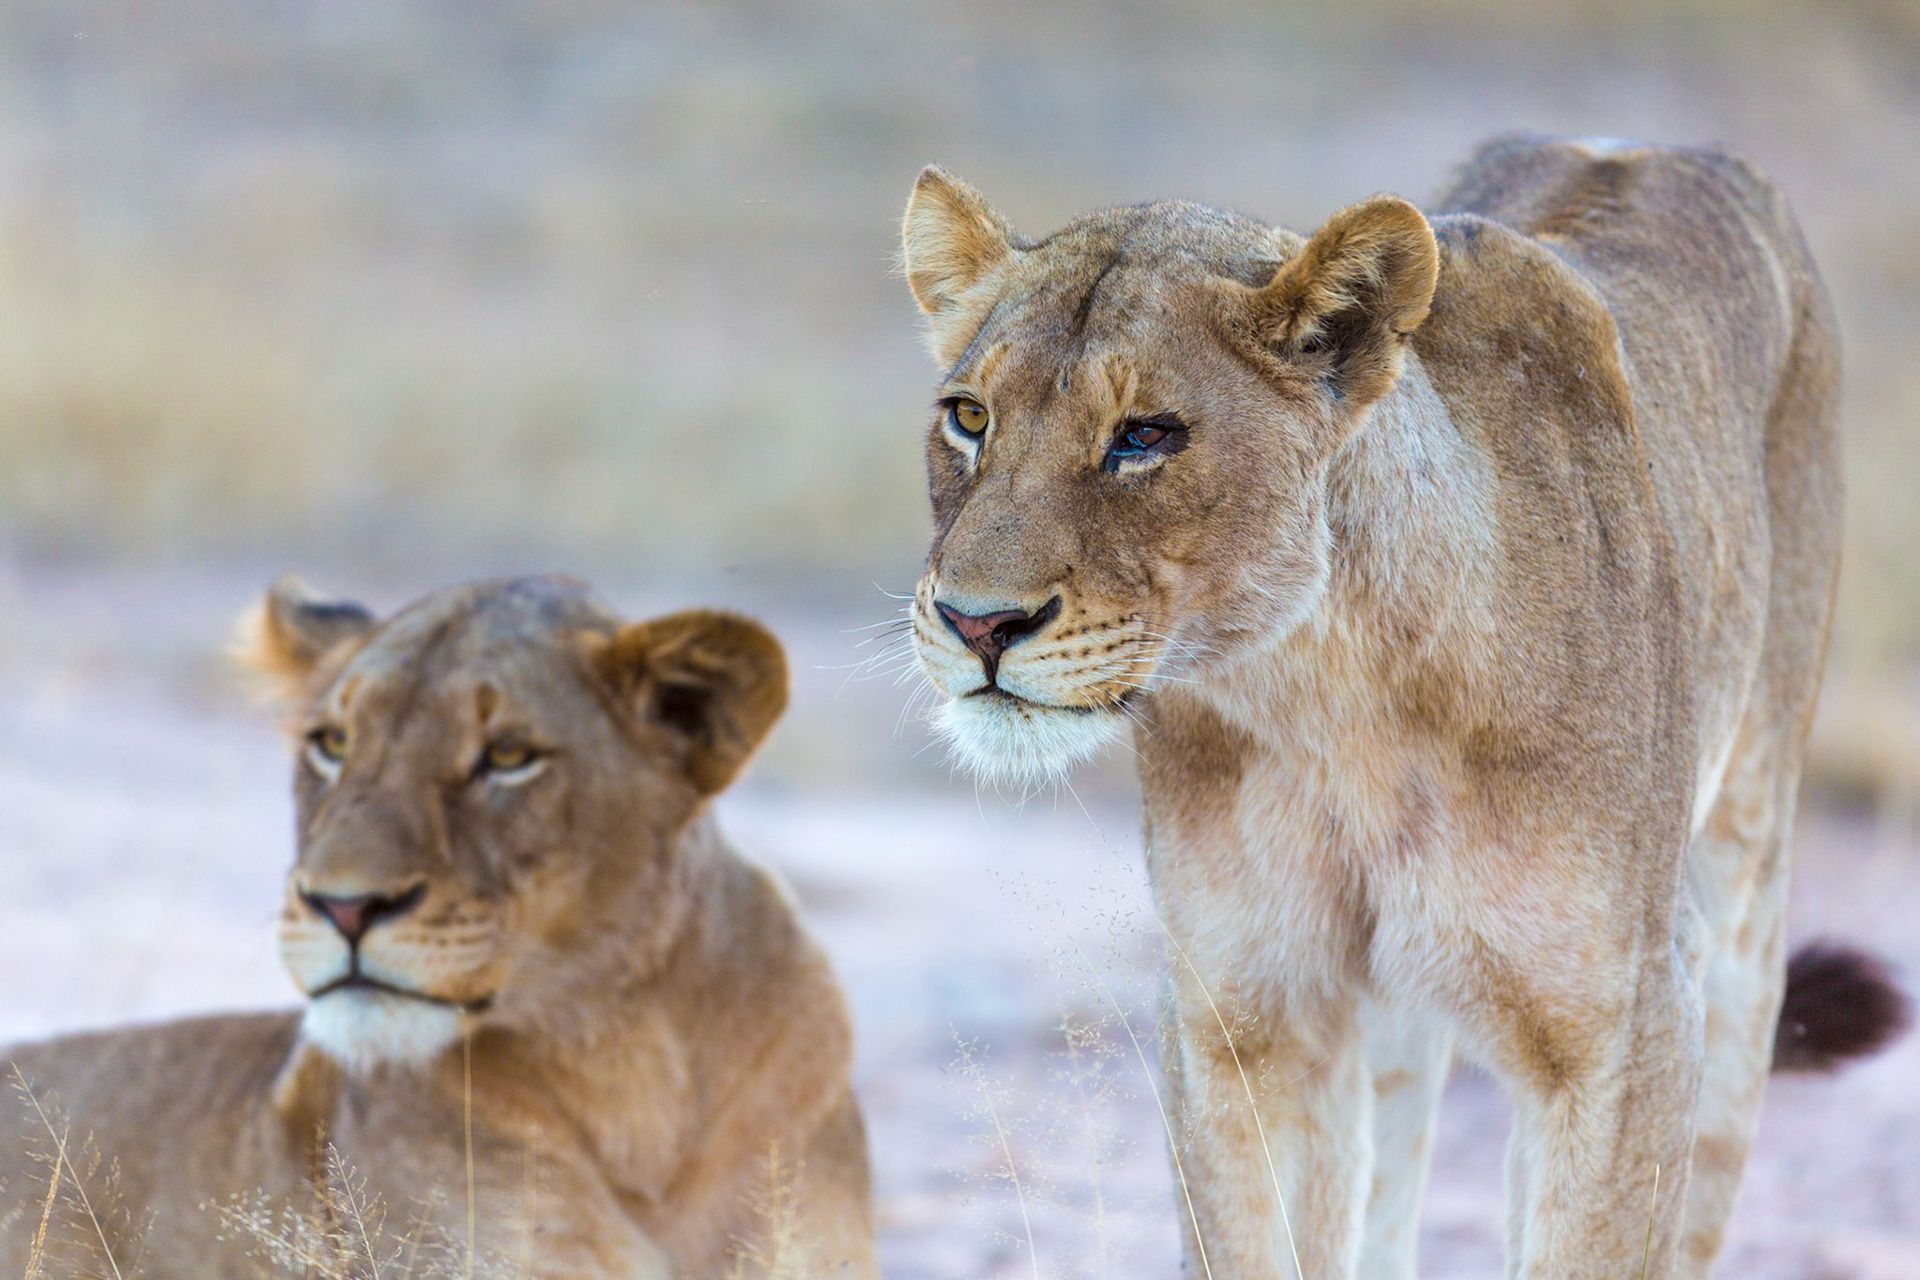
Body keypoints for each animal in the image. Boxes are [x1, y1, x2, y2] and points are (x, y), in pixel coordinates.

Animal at [898, 134, 1909, 1278]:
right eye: (969, 417)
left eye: (1145, 436)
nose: (978, 622)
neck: (1333, 699)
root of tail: (1642, 144)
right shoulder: (1240, 1012)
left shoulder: (1628, 1024)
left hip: (1745, 891)